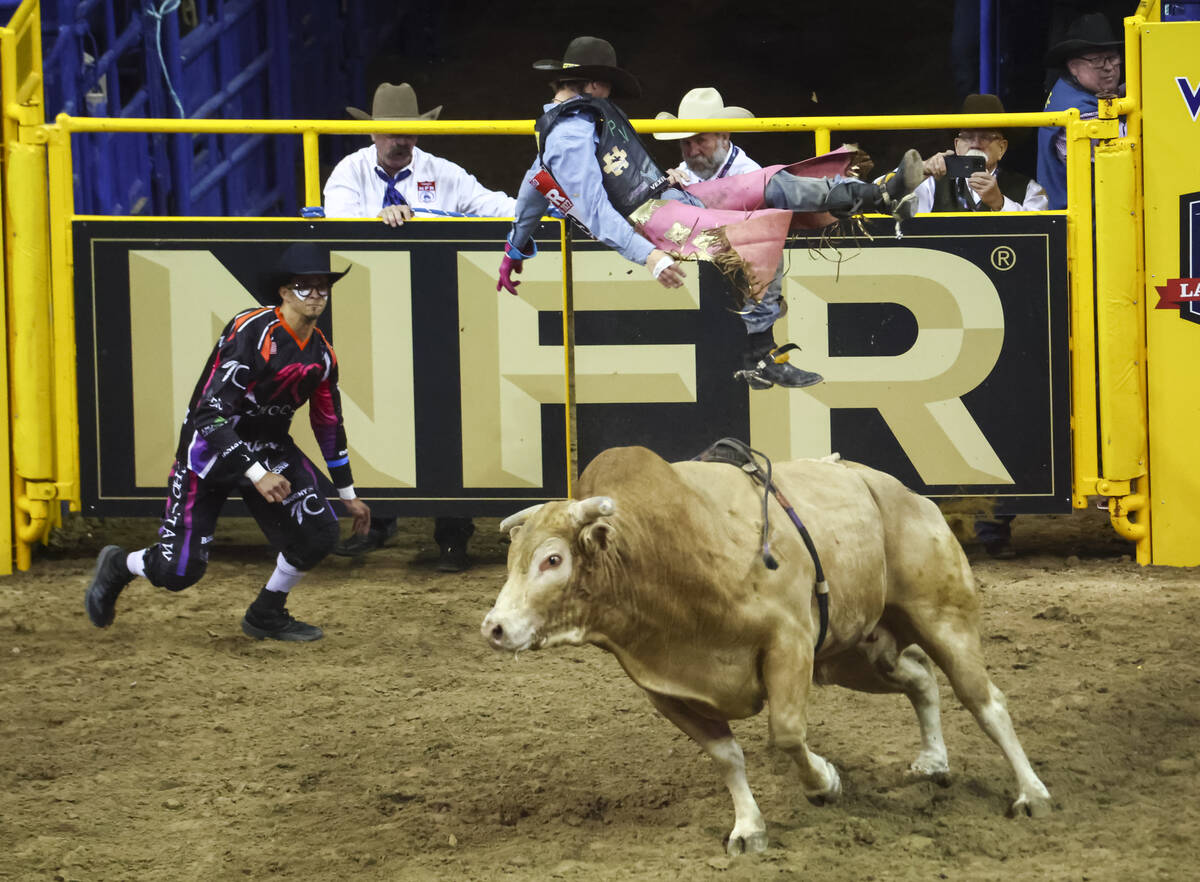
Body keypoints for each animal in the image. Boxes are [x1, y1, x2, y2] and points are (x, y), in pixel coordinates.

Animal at [477, 444, 1051, 854]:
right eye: (511, 559)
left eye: (552, 559)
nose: (495, 628)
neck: (665, 552)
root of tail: (911, 497)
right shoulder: (667, 690)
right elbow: (727, 756)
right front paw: (749, 828)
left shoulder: (789, 644)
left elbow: (787, 733)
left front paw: (824, 783)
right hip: (857, 651)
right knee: (918, 675)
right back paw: (933, 760)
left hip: (942, 615)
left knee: (984, 701)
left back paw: (1031, 793)